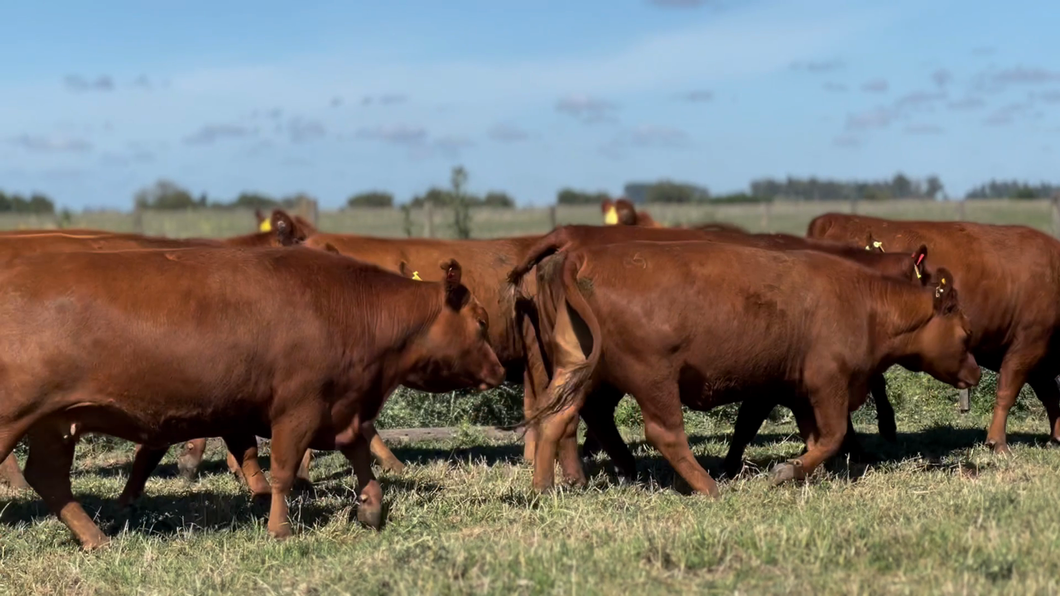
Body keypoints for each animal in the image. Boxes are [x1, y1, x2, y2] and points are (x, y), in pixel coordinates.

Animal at [0, 243, 502, 547]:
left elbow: (360, 455)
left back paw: (96, 539)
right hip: (15, 417)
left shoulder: (342, 407)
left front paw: (372, 508)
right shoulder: (298, 409)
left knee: (49, 478)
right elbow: (281, 471)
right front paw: (280, 529)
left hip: (54, 423)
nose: (499, 369)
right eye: (480, 322)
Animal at [510, 237, 975, 492]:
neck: (865, 304)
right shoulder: (827, 383)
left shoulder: (793, 390)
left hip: (581, 373)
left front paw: (809, 474)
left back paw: (544, 488)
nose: (975, 371)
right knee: (664, 433)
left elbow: (808, 436)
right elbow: (832, 435)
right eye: (966, 334)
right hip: (654, 378)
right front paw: (787, 471)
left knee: (557, 418)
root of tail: (580, 257)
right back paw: (707, 486)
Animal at [809, 213, 1060, 449]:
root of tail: (831, 220)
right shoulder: (1028, 344)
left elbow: (1050, 396)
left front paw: (1056, 437)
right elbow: (1008, 391)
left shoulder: (1040, 361)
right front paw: (997, 441)